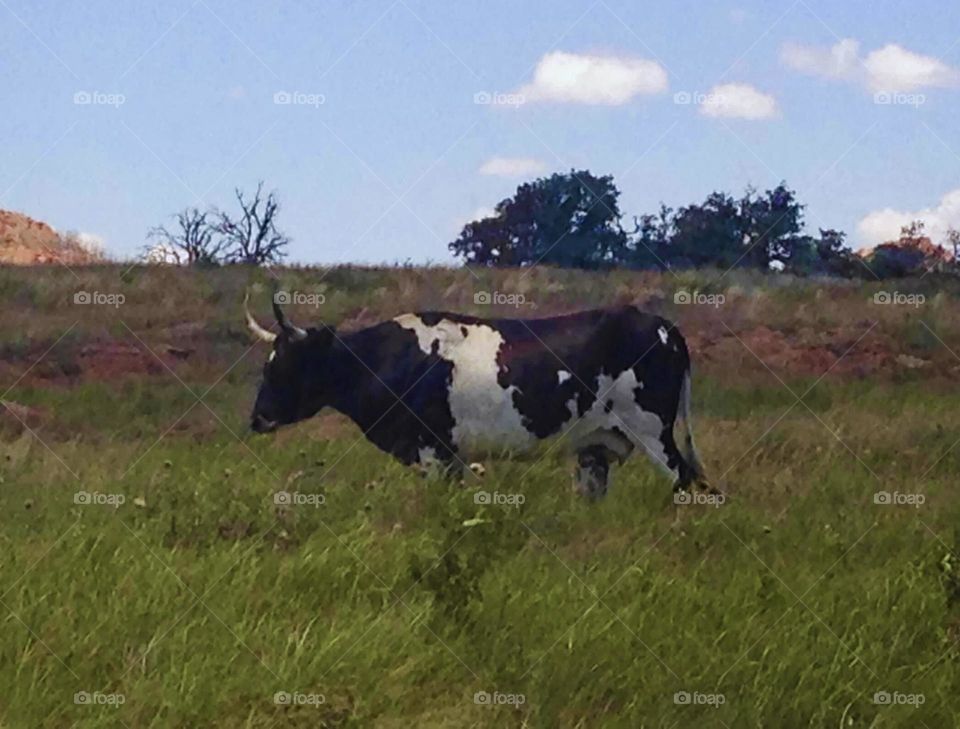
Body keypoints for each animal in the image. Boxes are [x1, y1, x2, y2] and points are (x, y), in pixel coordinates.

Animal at [248, 296, 708, 494]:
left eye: (282, 365)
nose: (256, 418)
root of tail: (662, 324)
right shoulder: (450, 458)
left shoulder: (432, 451)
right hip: (595, 450)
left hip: (653, 433)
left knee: (689, 485)